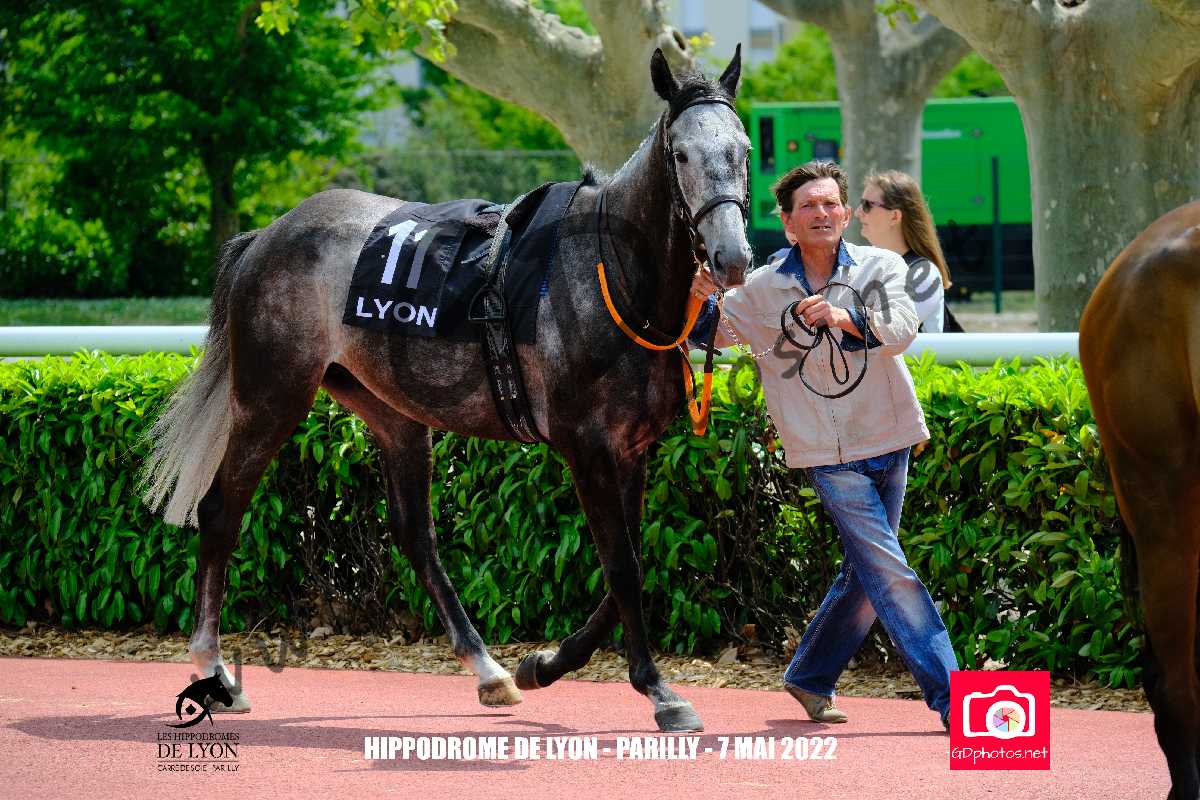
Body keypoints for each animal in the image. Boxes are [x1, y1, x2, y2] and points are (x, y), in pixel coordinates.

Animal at [141, 47, 752, 733]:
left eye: (743, 149)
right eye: (682, 155)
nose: (732, 258)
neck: (610, 275)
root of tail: (265, 236)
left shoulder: (633, 448)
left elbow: (631, 564)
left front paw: (545, 664)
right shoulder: (588, 446)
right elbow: (621, 565)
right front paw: (657, 688)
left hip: (392, 412)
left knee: (415, 534)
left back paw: (490, 672)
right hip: (272, 393)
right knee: (221, 510)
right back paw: (213, 668)